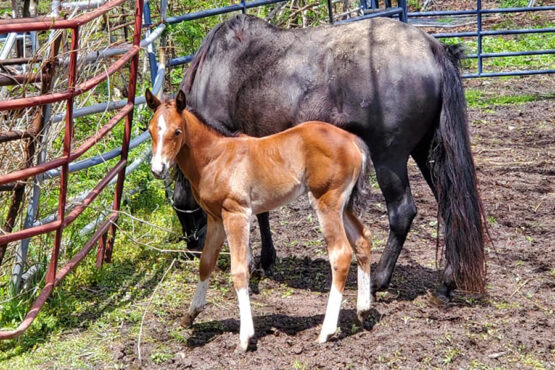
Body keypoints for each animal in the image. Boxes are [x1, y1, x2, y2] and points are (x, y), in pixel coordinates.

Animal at [147, 89, 374, 350]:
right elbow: (206, 263)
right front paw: (190, 315)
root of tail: (352, 140)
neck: (215, 158)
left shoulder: (236, 214)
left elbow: (239, 270)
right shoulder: (215, 219)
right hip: (342, 206)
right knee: (363, 240)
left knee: (341, 253)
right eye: (150, 129)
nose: (158, 169)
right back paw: (363, 311)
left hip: (327, 202)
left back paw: (326, 331)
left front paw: (246, 337)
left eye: (177, 131)